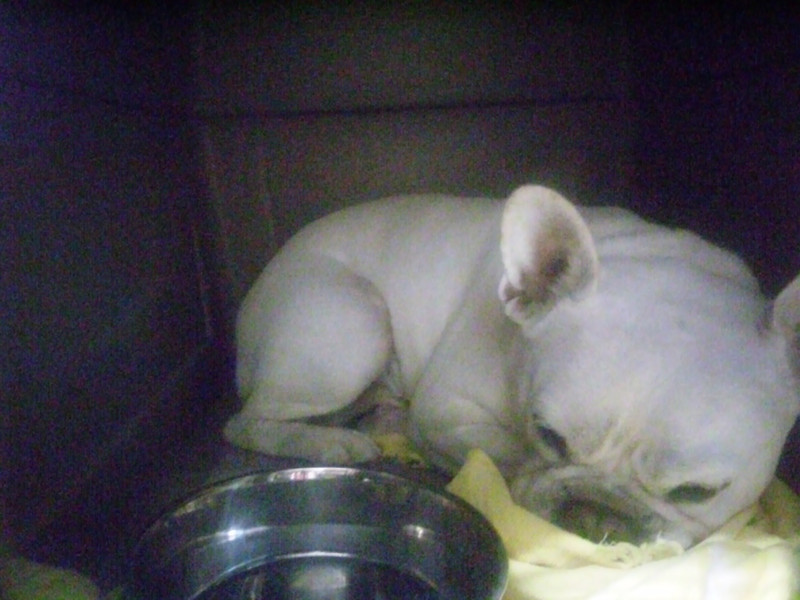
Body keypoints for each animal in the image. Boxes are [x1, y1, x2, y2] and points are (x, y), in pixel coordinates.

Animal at [224, 185, 800, 547]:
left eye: (697, 493)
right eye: (548, 435)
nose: (594, 512)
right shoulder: (447, 410)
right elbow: (502, 455)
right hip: (352, 322)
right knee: (248, 421)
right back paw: (331, 442)